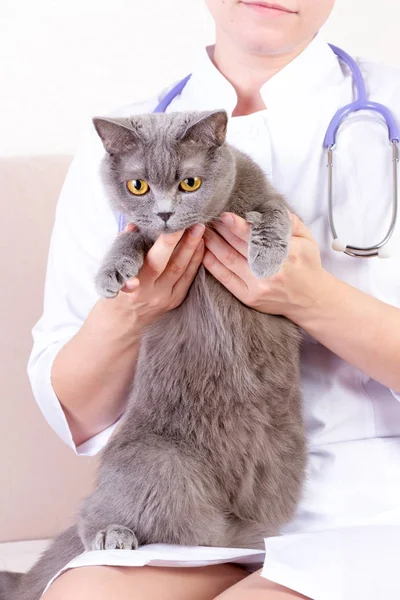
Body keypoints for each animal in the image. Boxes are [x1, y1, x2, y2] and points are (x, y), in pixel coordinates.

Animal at [0, 110, 306, 596]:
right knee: (97, 514)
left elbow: (274, 213)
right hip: (160, 464)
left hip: (282, 467)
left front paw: (265, 258)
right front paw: (110, 274)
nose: (164, 212)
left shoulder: (271, 198)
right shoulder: (141, 232)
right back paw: (113, 536)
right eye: (138, 185)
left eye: (189, 182)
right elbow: (130, 239)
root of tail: (227, 519)